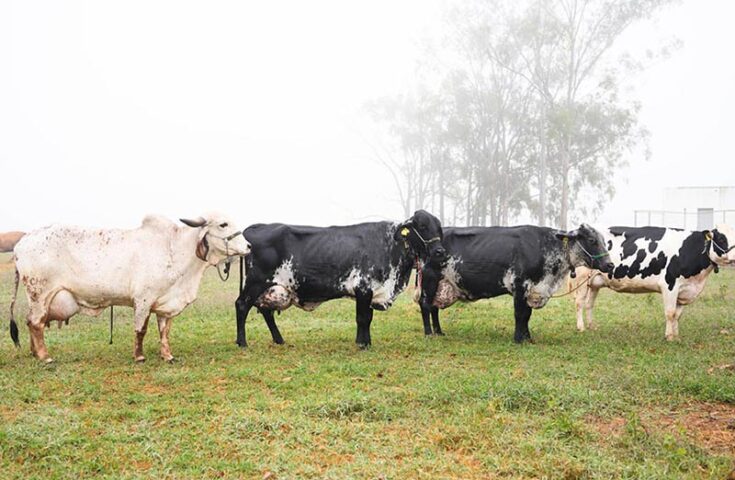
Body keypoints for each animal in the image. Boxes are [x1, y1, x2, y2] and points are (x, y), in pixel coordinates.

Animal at [10, 212, 252, 362]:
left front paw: (167, 355)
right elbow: (140, 330)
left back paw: (35, 353)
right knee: (35, 323)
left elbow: (164, 331)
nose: (249, 246)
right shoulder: (143, 300)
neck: (174, 249)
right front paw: (139, 356)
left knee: (32, 323)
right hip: (40, 294)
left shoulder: (165, 303)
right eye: (223, 224)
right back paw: (44, 356)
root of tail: (22, 242)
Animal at [236, 210, 446, 348]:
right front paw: (362, 344)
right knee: (242, 305)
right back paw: (242, 342)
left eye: (439, 228)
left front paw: (366, 341)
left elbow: (368, 318)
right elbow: (362, 318)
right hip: (255, 282)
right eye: (422, 226)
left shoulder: (370, 291)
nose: (440, 252)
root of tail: (256, 227)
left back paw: (279, 340)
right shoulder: (364, 288)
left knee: (265, 311)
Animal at [414, 223, 616, 344]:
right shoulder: (520, 285)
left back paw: (439, 332)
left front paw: (528, 338)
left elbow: (527, 315)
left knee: (434, 308)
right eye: (591, 240)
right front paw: (519, 339)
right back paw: (429, 333)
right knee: (425, 305)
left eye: (604, 241)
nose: (610, 265)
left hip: (442, 283)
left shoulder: (531, 289)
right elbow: (520, 314)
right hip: (430, 279)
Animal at [576, 224, 735, 340]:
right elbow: (670, 313)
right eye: (721, 239)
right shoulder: (670, 284)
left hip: (595, 282)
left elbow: (677, 315)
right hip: (581, 278)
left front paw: (676, 336)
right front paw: (669, 337)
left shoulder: (684, 289)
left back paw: (592, 326)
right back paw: (581, 328)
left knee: (589, 304)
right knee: (579, 303)